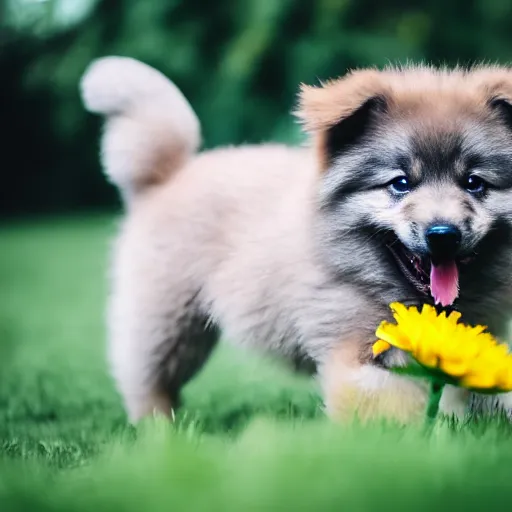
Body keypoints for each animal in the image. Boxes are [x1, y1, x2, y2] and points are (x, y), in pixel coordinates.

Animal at [81, 56, 512, 424]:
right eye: (401, 183)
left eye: (474, 183)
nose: (443, 234)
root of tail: (167, 176)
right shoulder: (352, 352)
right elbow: (393, 408)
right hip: (167, 322)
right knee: (148, 381)